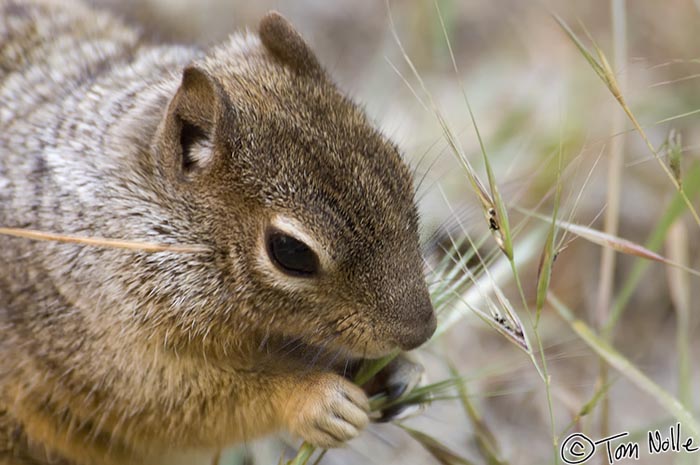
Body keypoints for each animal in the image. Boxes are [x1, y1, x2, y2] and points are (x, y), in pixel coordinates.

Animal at [0, 1, 438, 462]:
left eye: (399, 169)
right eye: (290, 251)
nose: (421, 331)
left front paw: (398, 371)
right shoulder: (103, 354)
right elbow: (194, 404)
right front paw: (316, 398)